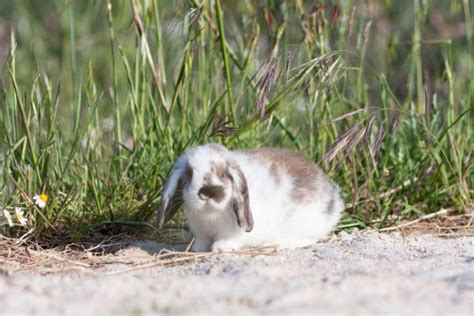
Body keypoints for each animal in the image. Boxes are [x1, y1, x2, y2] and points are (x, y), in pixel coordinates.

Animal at [157, 143, 342, 252]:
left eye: (224, 174)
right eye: (189, 173)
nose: (209, 192)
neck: (211, 215)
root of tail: (334, 201)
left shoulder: (233, 233)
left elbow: (229, 239)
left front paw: (220, 248)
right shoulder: (203, 233)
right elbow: (202, 242)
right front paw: (198, 248)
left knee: (308, 239)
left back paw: (273, 244)